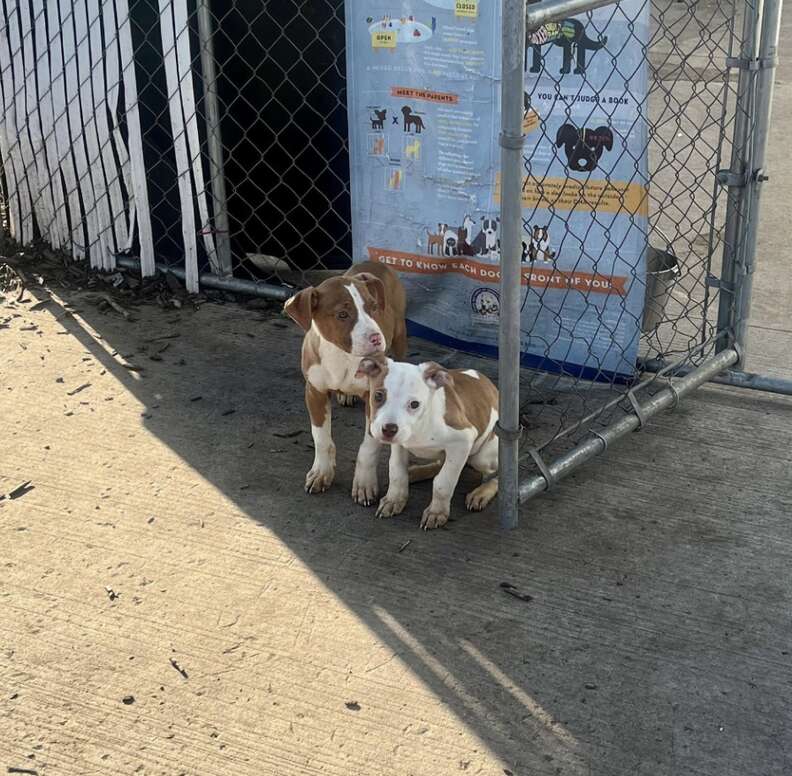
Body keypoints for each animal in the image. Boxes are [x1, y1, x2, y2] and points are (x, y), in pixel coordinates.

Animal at [284, 260, 408, 504]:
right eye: (342, 314)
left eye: (373, 308)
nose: (376, 338)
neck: (341, 355)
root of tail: (374, 262)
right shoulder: (314, 392)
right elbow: (321, 437)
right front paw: (321, 472)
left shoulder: (373, 398)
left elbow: (369, 446)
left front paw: (364, 483)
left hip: (400, 333)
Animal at [358, 356, 498, 528]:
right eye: (378, 396)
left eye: (414, 404)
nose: (389, 429)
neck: (419, 426)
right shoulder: (400, 444)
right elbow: (397, 471)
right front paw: (394, 500)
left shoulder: (462, 441)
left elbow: (443, 482)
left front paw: (436, 512)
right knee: (438, 465)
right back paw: (414, 473)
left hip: (482, 456)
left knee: (496, 475)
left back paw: (481, 493)